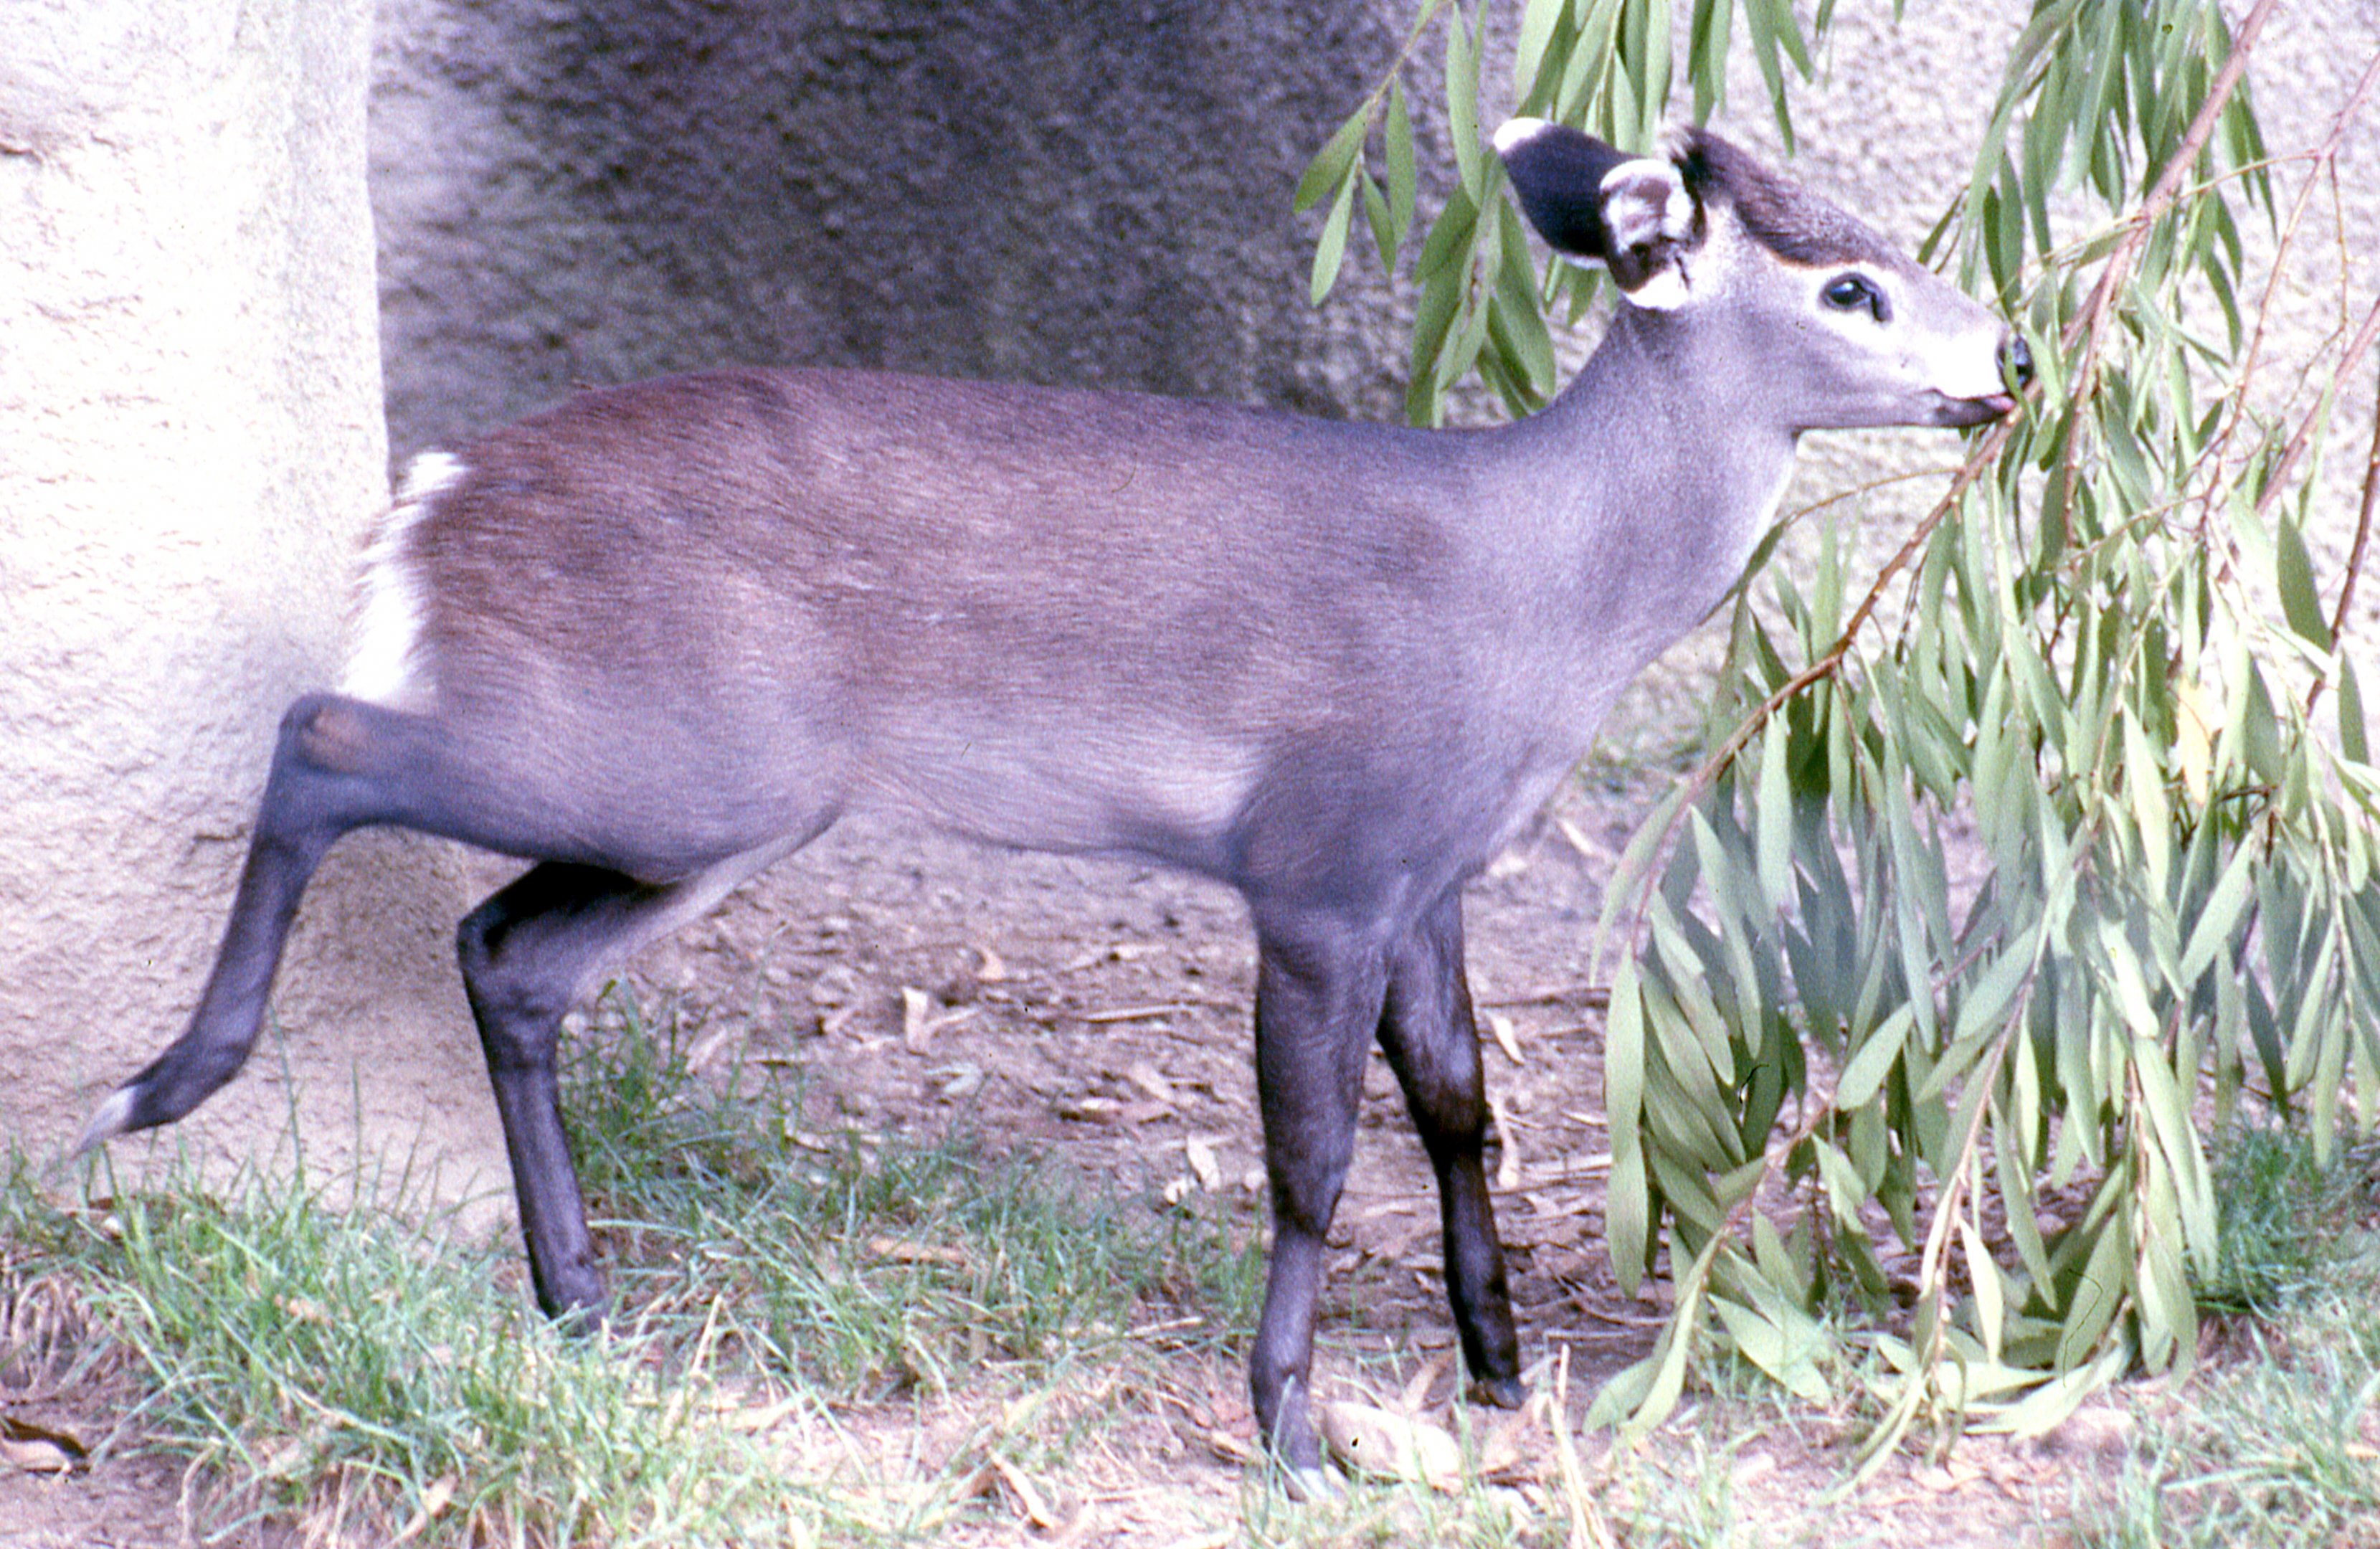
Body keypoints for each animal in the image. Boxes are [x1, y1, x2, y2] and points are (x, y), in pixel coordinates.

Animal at [79, 118, 2025, 1490]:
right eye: (1852, 285)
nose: (2006, 353)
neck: (1540, 590)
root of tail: (432, 500)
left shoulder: (1432, 867)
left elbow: (1463, 1102)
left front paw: (1494, 1363)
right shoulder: (1317, 861)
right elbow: (1314, 1154)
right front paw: (1292, 1430)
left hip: (711, 800)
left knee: (508, 952)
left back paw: (582, 1298)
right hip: (682, 756)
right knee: (324, 737)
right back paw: (163, 1084)